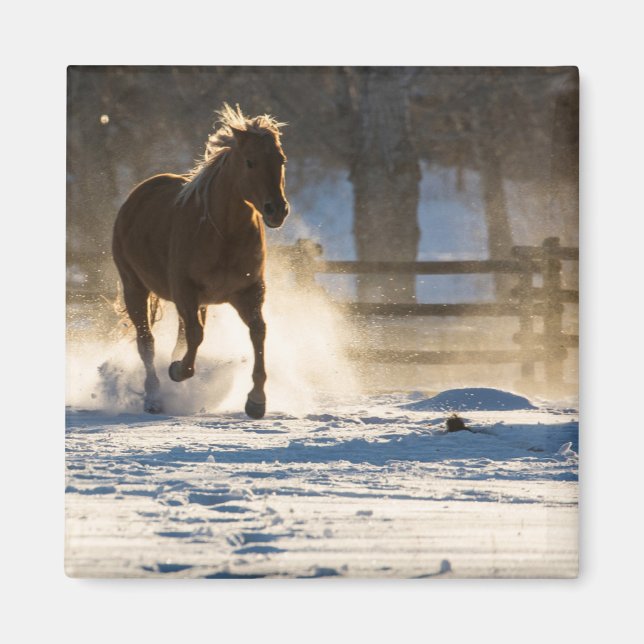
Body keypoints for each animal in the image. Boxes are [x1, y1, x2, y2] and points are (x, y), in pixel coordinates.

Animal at [112, 104, 289, 418]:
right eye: (250, 162)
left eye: (280, 160)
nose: (276, 210)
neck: (224, 235)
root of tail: (135, 197)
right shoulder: (185, 290)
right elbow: (196, 336)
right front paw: (177, 371)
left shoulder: (248, 292)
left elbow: (258, 332)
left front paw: (256, 401)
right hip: (134, 287)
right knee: (146, 342)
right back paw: (154, 398)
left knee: (179, 337)